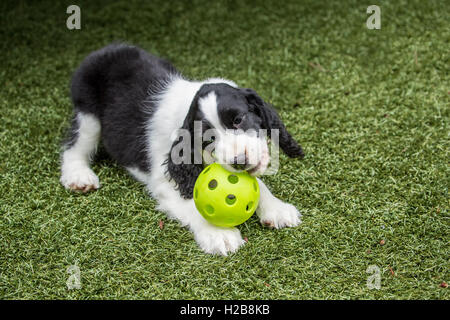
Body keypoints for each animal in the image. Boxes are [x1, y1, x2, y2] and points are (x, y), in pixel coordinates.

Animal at [59, 44, 304, 255]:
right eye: (208, 138)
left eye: (238, 120)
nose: (239, 162)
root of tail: (103, 51)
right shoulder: (165, 179)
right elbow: (193, 201)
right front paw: (219, 234)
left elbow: (258, 185)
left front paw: (277, 209)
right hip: (88, 114)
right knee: (74, 146)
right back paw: (78, 176)